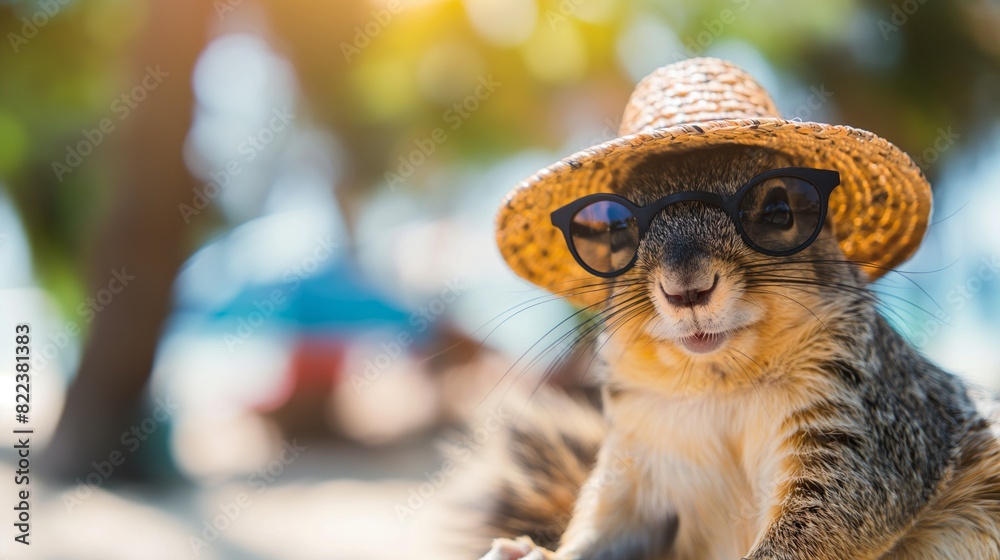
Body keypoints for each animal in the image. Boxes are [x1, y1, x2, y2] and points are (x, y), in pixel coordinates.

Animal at [472, 145, 1000, 560]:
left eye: (779, 210)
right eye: (613, 230)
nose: (687, 289)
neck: (719, 385)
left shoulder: (869, 425)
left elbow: (835, 514)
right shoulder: (638, 466)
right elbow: (605, 530)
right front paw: (531, 552)